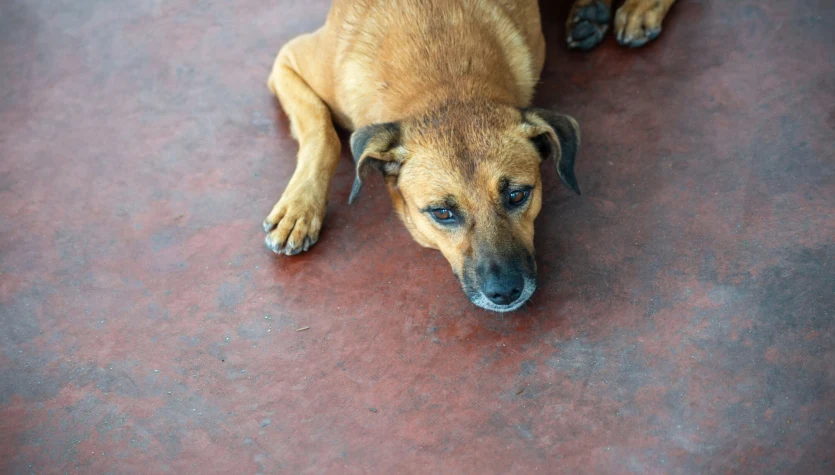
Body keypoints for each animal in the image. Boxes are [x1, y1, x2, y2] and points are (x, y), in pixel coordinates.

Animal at [263, 0, 677, 311]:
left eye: (517, 195)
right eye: (442, 213)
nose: (506, 292)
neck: (443, 81)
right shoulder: (287, 61)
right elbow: (323, 134)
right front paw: (299, 209)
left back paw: (638, 8)